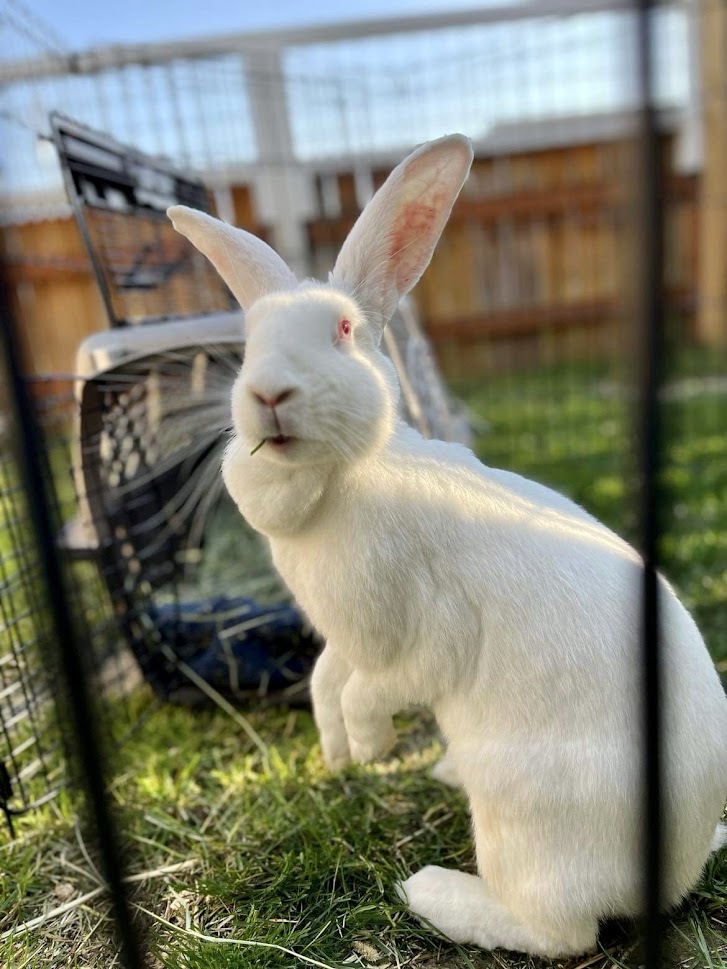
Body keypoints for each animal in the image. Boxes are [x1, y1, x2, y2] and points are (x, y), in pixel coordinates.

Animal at [166, 132, 727, 956]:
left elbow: (372, 687)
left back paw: (429, 889)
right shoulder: (343, 638)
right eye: (249, 343)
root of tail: (675, 870)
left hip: (525, 826)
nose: (268, 394)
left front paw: (367, 749)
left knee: (559, 932)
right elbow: (325, 680)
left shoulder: (416, 634)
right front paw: (335, 752)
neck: (346, 474)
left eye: (341, 331)